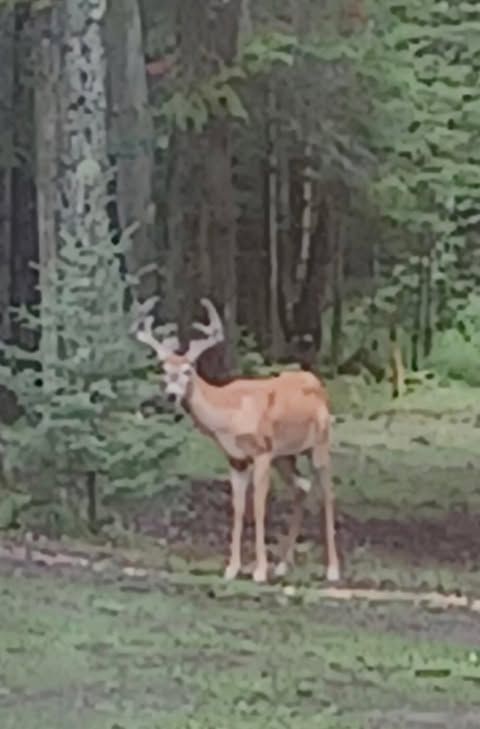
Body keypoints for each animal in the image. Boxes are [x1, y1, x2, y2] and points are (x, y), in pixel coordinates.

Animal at [132, 298, 342, 584]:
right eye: (164, 370)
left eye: (188, 370)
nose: (171, 395)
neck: (228, 415)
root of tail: (318, 385)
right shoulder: (236, 459)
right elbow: (239, 507)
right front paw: (232, 568)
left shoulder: (261, 452)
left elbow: (259, 506)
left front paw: (259, 571)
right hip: (285, 456)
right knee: (302, 487)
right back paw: (283, 565)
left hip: (319, 443)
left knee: (327, 493)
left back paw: (332, 569)